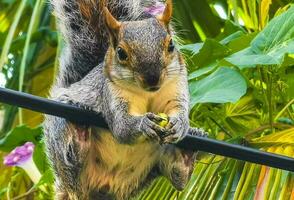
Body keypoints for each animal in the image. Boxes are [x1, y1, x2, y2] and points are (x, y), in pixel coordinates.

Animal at [44, 0, 208, 199]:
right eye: (121, 53)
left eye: (171, 45)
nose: (152, 78)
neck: (147, 92)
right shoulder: (111, 94)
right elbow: (122, 125)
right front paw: (143, 124)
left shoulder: (176, 88)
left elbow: (179, 110)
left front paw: (181, 124)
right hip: (60, 136)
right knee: (72, 161)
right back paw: (78, 133)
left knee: (177, 178)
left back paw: (186, 156)